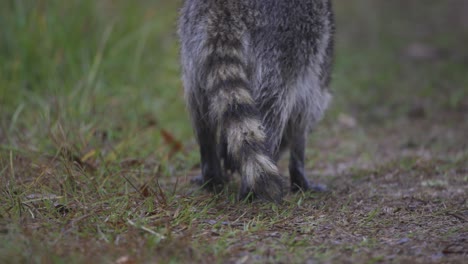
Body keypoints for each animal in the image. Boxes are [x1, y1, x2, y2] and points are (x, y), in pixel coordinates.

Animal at [177, 0, 334, 202]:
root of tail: (224, 6)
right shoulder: (314, 66)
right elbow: (301, 122)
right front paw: (299, 173)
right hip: (281, 46)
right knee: (272, 107)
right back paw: (252, 187)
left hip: (192, 43)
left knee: (199, 109)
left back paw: (210, 169)